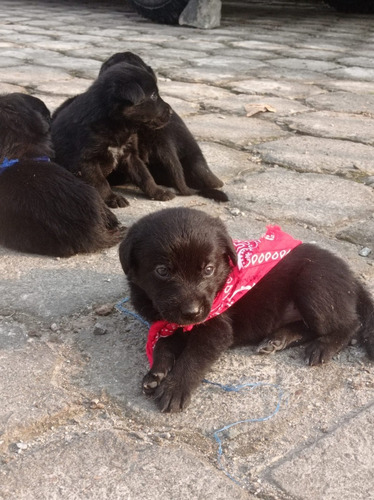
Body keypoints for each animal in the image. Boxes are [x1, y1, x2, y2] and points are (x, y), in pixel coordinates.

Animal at [50, 63, 175, 208]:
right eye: (154, 96)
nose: (171, 112)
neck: (117, 126)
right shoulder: (85, 160)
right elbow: (100, 182)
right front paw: (112, 198)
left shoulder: (130, 155)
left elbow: (145, 175)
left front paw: (158, 192)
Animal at [120, 206, 374, 410]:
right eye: (162, 271)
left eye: (209, 269)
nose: (192, 313)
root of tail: (351, 277)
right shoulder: (169, 323)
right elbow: (162, 345)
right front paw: (156, 373)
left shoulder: (216, 329)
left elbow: (192, 358)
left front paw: (175, 387)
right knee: (309, 326)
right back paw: (278, 339)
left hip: (314, 284)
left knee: (350, 324)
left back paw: (323, 346)